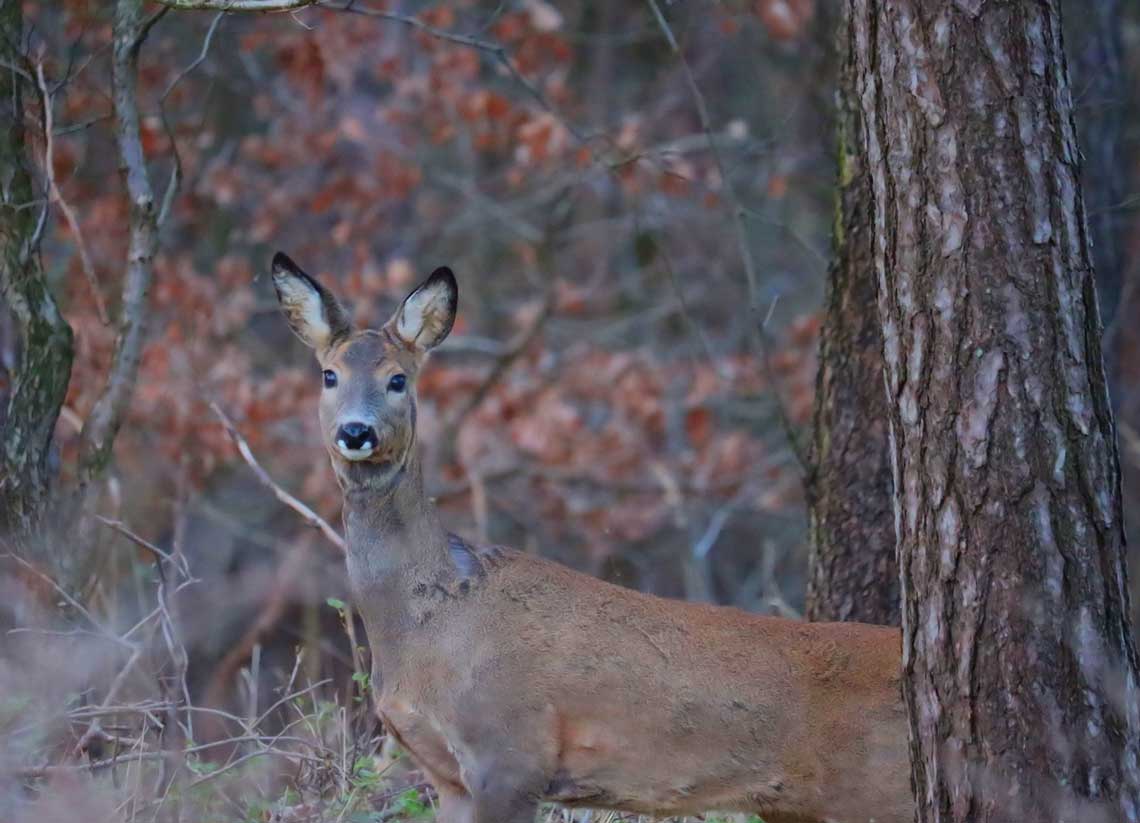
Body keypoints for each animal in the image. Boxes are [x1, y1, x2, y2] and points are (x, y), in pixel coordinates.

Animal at [266, 251, 907, 820]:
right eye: (329, 374)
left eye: (398, 379)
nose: (356, 431)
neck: (430, 621)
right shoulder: (446, 773)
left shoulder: (511, 753)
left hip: (877, 792)